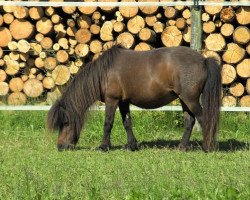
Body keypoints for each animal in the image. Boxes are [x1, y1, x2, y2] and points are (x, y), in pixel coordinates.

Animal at [47, 45, 221, 152]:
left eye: (65, 122)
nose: (61, 146)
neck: (104, 72)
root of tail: (204, 60)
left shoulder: (112, 100)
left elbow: (108, 123)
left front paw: (103, 147)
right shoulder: (123, 102)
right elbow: (127, 123)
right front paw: (132, 145)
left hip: (190, 99)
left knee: (204, 119)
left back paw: (208, 147)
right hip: (184, 100)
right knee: (189, 121)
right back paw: (182, 147)